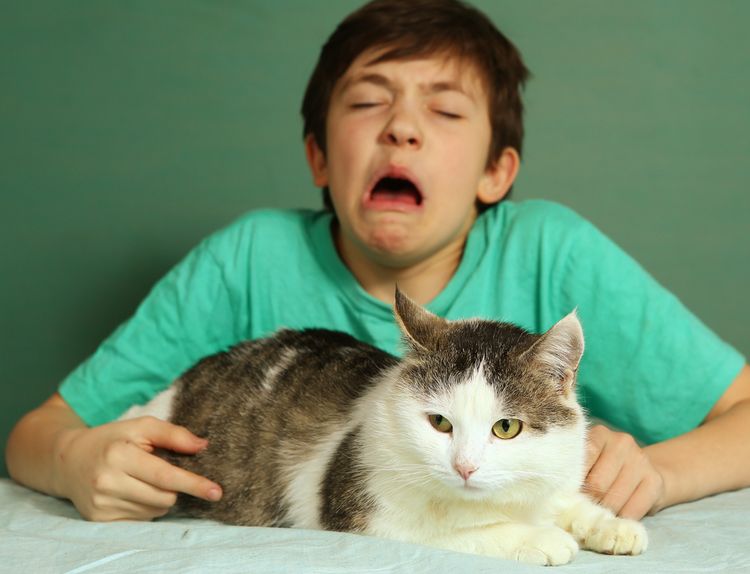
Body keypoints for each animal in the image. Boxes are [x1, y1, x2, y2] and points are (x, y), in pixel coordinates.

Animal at [122, 290, 648, 568]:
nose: (465, 467)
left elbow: (567, 502)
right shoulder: (372, 517)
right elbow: (467, 532)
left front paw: (613, 526)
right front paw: (540, 538)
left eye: (506, 428)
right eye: (439, 423)